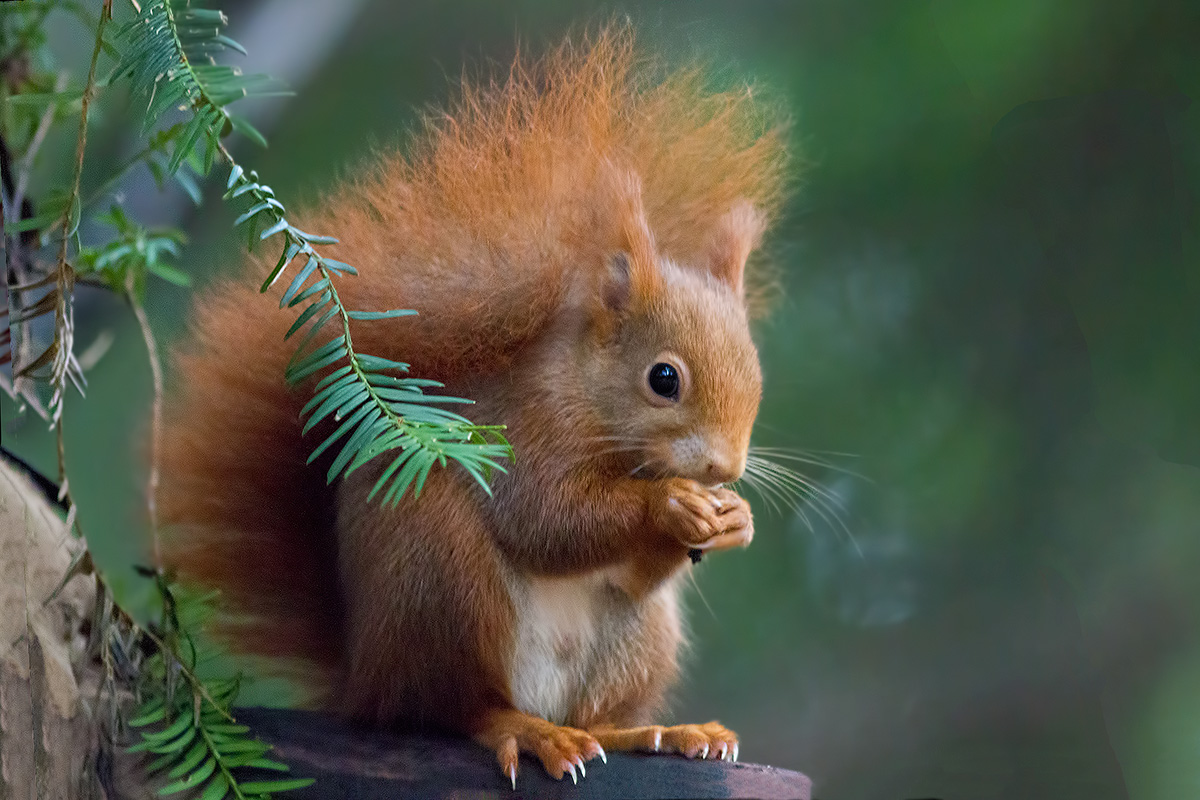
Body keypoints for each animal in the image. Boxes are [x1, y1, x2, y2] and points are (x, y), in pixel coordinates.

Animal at [158, 25, 788, 787]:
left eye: (757, 373)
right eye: (663, 379)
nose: (725, 470)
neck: (591, 401)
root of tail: (365, 675)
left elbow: (628, 566)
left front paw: (734, 520)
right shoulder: (522, 430)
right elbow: (547, 520)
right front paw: (669, 505)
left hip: (637, 637)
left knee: (596, 711)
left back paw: (658, 732)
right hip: (444, 581)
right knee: (456, 707)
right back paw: (528, 731)